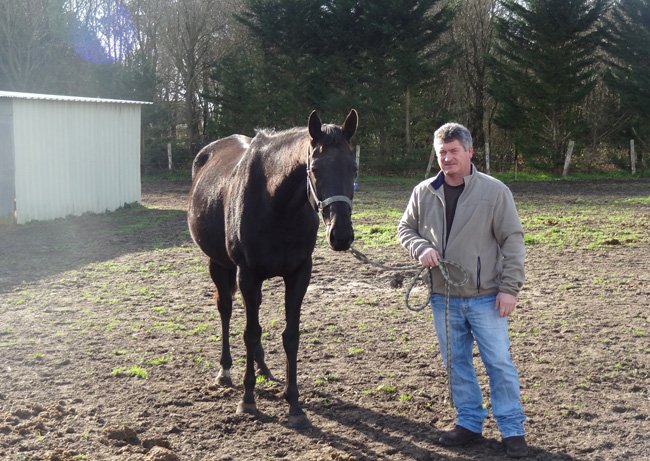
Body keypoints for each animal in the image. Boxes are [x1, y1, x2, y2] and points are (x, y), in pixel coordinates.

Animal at [188, 109, 358, 428]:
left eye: (353, 168)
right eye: (315, 168)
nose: (341, 235)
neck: (276, 202)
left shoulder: (299, 274)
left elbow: (290, 335)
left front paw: (294, 402)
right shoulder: (248, 274)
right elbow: (250, 333)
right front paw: (248, 399)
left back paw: (263, 367)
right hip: (219, 265)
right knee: (226, 309)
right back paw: (226, 371)